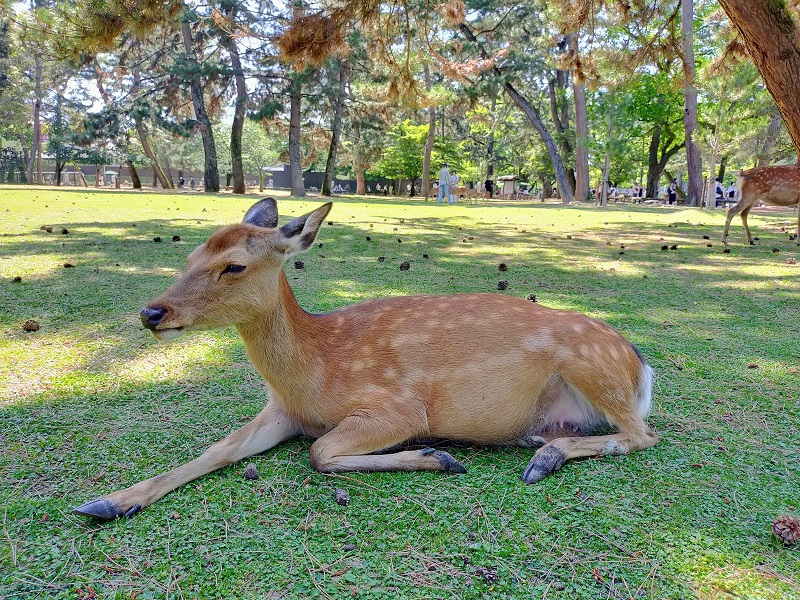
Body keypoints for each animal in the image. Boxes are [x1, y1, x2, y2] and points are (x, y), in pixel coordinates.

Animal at [75, 198, 660, 520]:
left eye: (234, 266)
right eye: (192, 254)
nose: (152, 313)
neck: (312, 373)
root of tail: (641, 366)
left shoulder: (397, 407)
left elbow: (320, 453)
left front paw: (438, 457)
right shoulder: (280, 413)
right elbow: (218, 450)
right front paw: (108, 501)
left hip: (591, 364)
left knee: (642, 435)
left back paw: (546, 456)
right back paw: (539, 442)